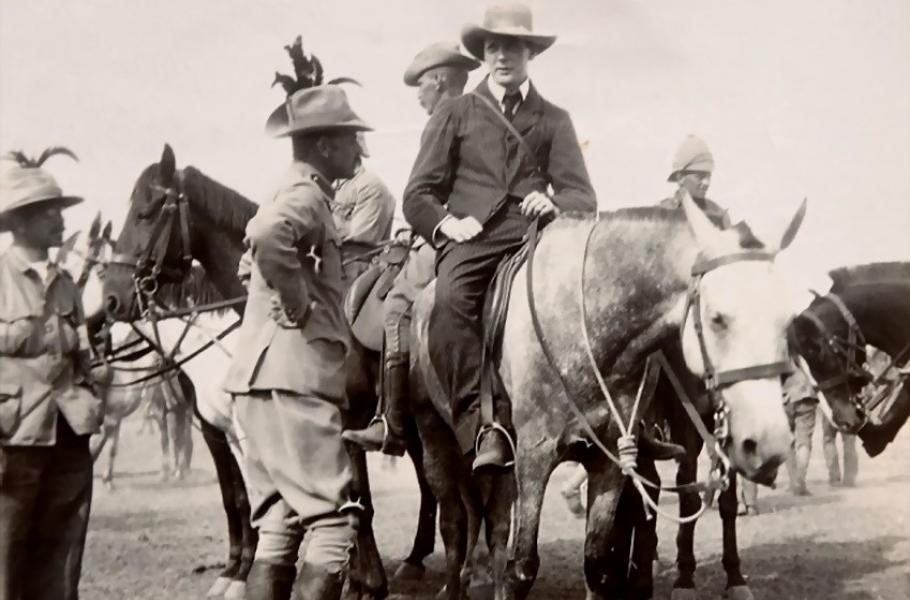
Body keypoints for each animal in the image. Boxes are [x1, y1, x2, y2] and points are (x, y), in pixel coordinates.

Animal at [101, 144, 433, 599]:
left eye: (146, 212)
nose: (111, 301)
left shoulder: (338, 422)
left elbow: (352, 501)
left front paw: (364, 582)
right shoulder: (230, 429)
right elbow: (246, 498)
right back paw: (416, 562)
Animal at [408, 196, 805, 599]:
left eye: (787, 321)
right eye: (717, 318)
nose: (769, 443)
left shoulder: (609, 459)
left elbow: (597, 562)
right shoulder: (534, 455)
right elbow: (523, 567)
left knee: (495, 523)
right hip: (434, 438)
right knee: (455, 525)